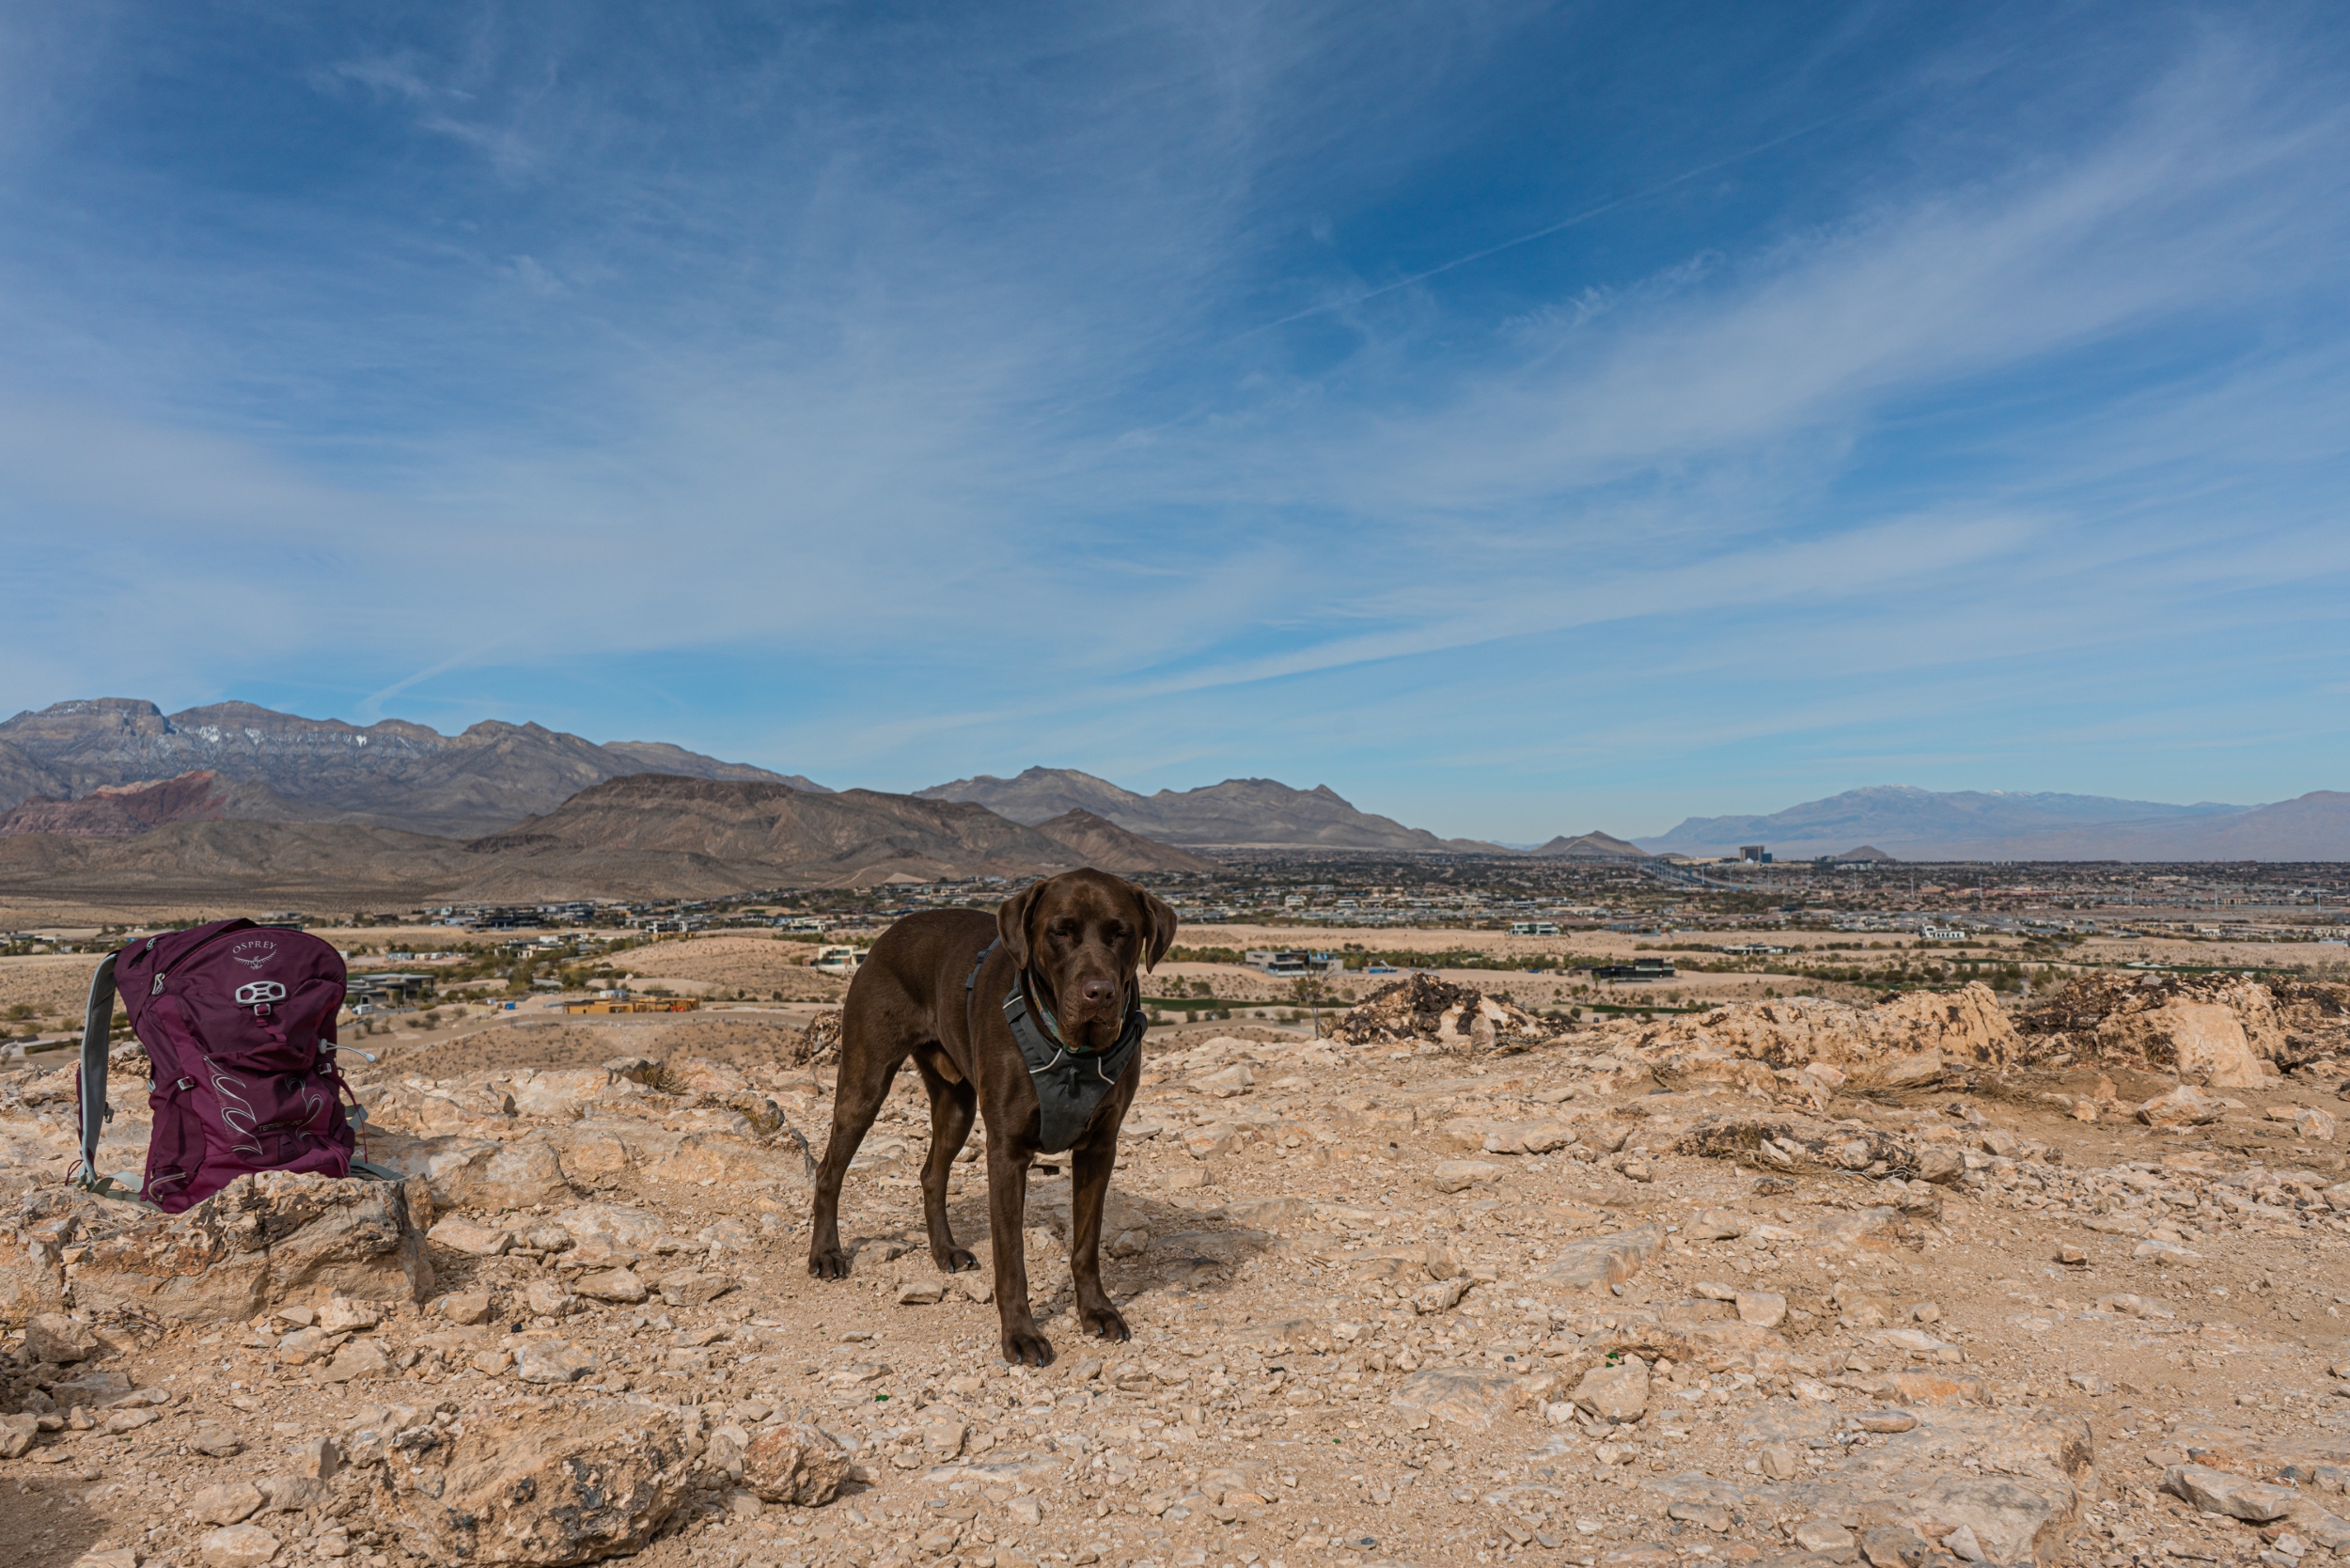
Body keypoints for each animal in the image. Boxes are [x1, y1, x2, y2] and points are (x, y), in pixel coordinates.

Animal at [808, 865, 1175, 1363]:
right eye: (1060, 931)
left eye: (1122, 933)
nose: (1099, 994)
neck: (1071, 1053)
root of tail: (889, 932)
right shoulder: (1007, 1152)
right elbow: (1011, 1257)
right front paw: (1021, 1334)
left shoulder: (1100, 1149)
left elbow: (1086, 1245)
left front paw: (1096, 1311)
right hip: (865, 1084)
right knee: (829, 1170)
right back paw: (825, 1254)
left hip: (957, 1105)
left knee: (931, 1173)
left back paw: (944, 1251)